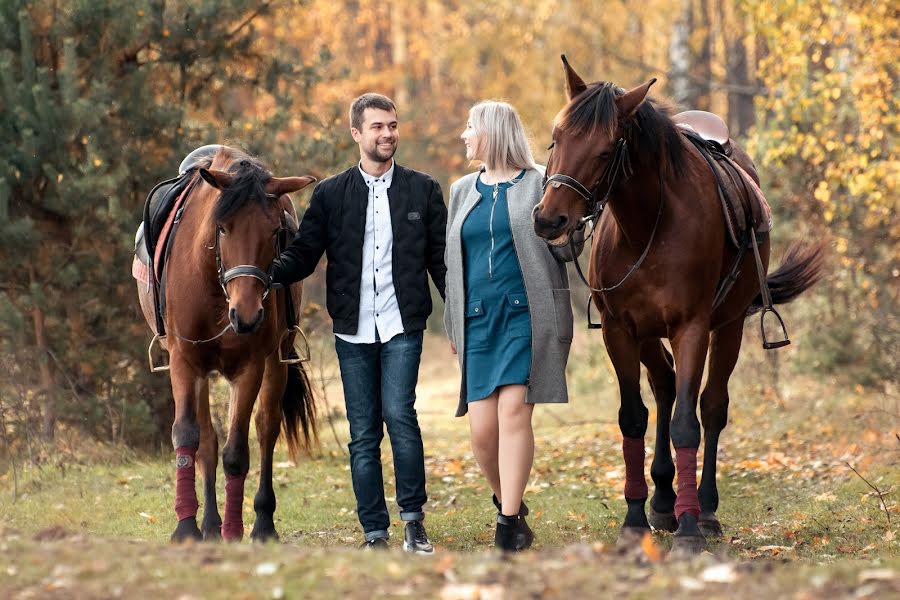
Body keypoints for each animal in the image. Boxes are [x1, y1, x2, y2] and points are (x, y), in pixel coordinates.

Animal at [139, 146, 322, 544]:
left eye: (275, 232)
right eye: (222, 228)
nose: (247, 315)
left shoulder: (250, 366)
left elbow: (237, 448)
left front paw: (237, 530)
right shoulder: (184, 360)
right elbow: (187, 435)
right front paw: (186, 527)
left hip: (276, 360)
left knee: (267, 426)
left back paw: (262, 522)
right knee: (207, 438)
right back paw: (209, 523)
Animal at [536, 58, 824, 556]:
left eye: (606, 150)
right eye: (557, 137)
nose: (549, 218)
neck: (645, 227)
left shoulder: (692, 328)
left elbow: (689, 423)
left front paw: (690, 530)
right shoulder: (620, 331)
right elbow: (634, 418)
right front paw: (635, 520)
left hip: (727, 327)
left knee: (711, 407)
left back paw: (703, 509)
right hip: (650, 335)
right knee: (666, 386)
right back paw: (663, 502)